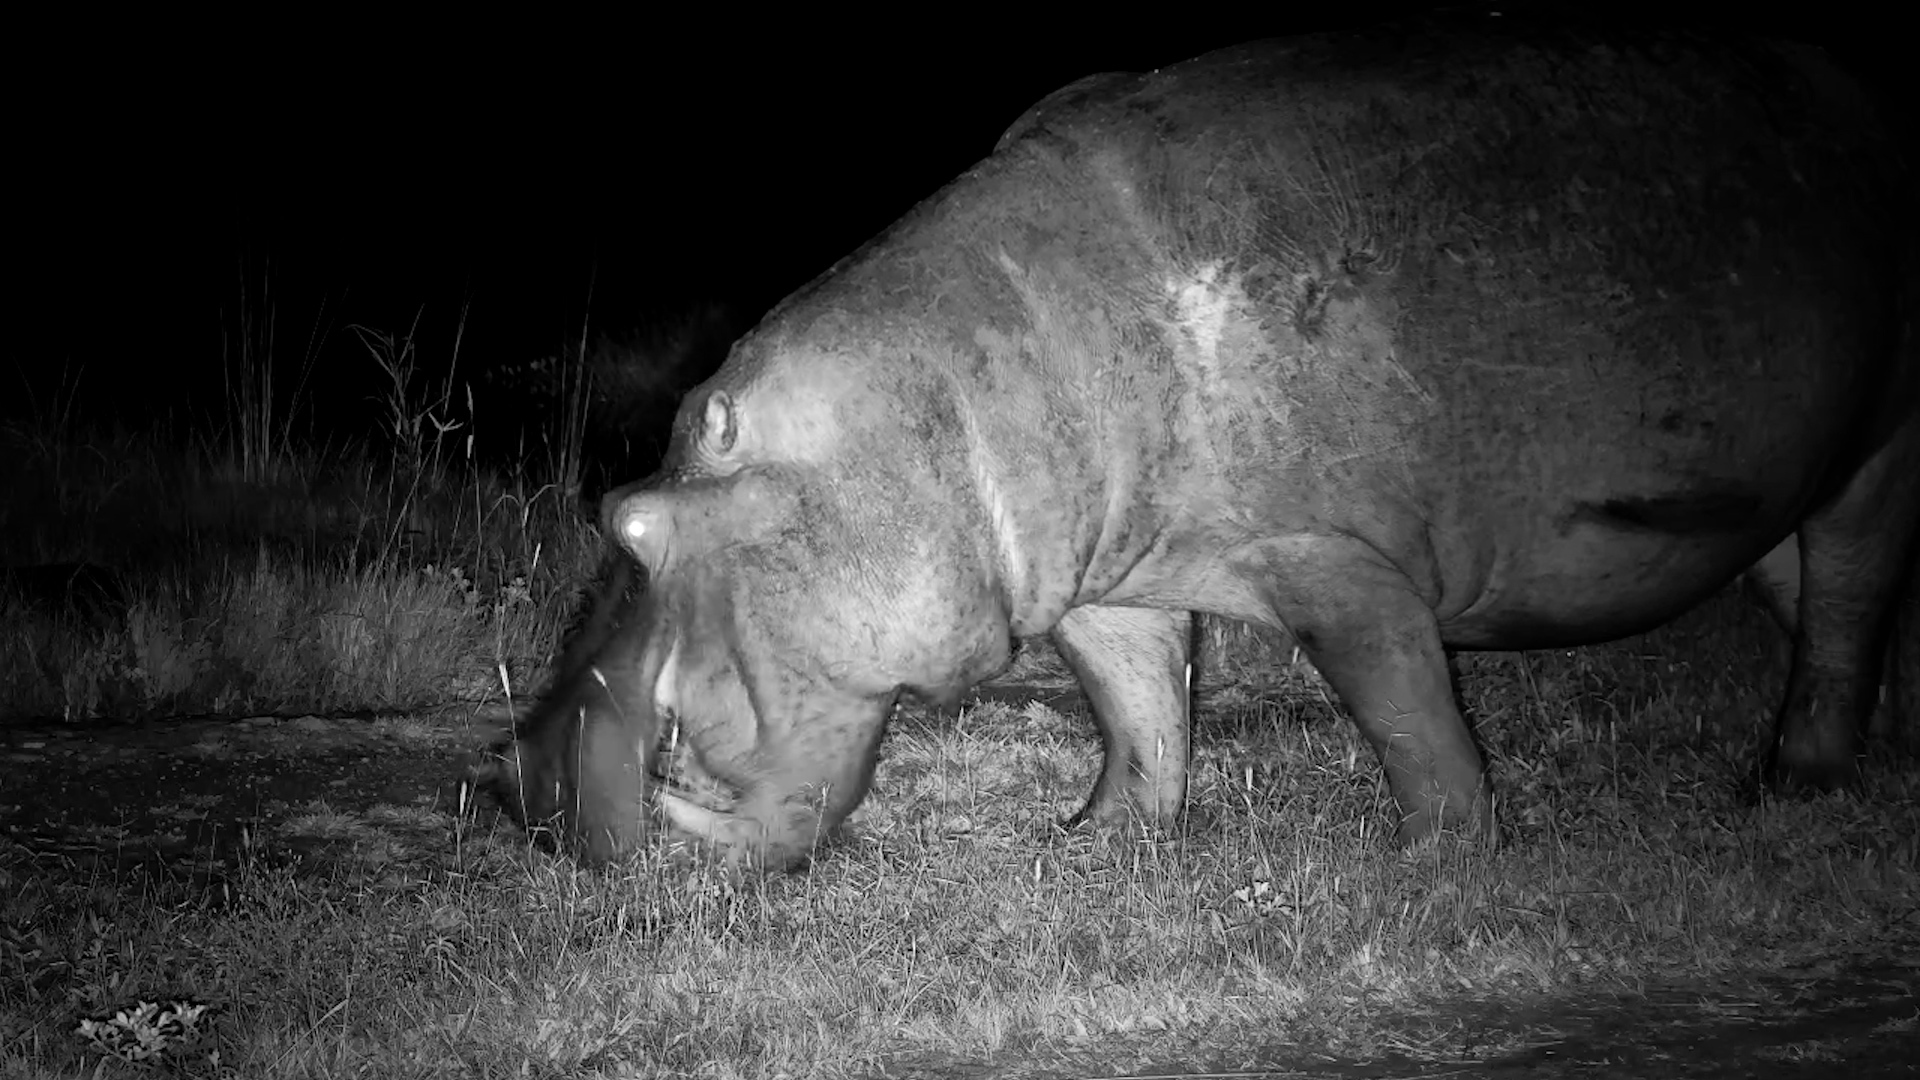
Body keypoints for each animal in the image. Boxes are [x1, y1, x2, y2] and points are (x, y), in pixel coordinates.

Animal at [488, 22, 1918, 868]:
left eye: (628, 516)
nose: (522, 786)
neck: (962, 387)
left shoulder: (1338, 563)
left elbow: (1406, 713)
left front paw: (1437, 864)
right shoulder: (1103, 580)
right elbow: (1140, 714)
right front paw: (1094, 843)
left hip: (1876, 449)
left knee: (1849, 602)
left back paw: (1791, 786)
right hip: (1762, 497)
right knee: (1803, 593)